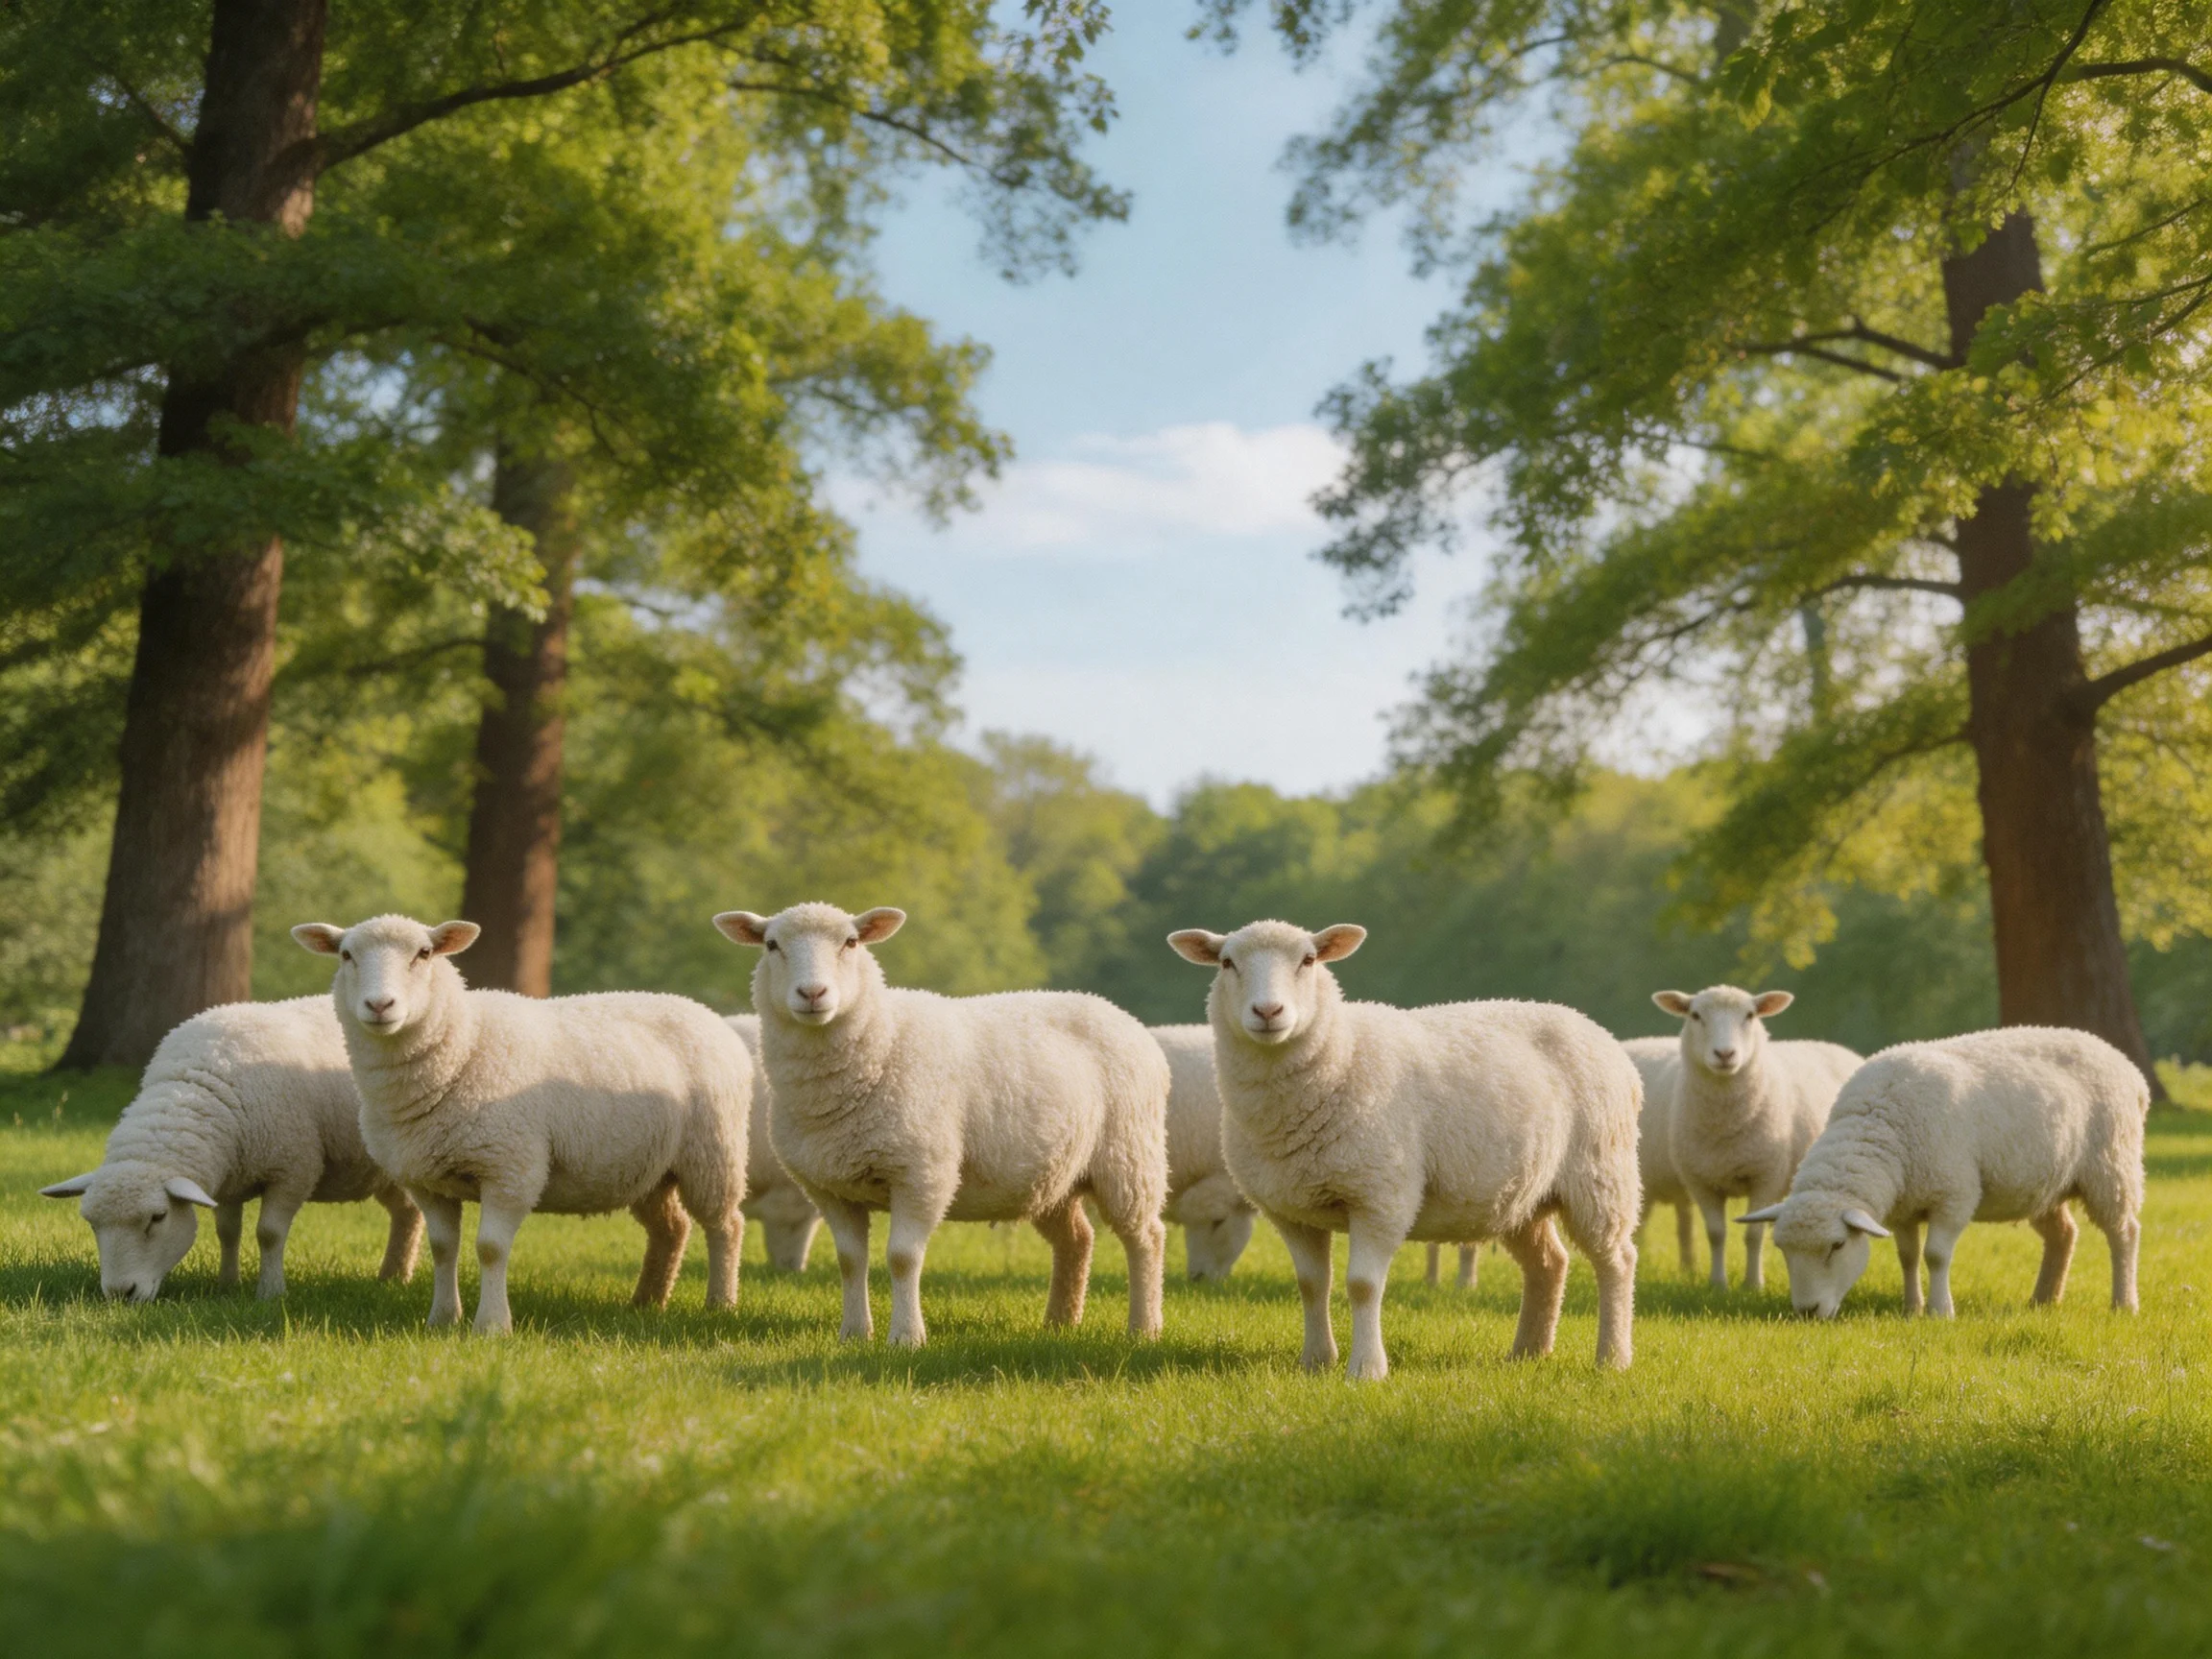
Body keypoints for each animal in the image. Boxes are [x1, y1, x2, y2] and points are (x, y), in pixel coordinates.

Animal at [40, 997, 421, 1302]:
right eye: (91, 1224)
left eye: (158, 1218)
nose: (120, 1294)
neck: (196, 1086)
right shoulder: (228, 1179)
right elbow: (227, 1233)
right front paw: (227, 1285)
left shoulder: (293, 1168)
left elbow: (269, 1234)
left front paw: (270, 1292)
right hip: (382, 1172)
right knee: (407, 1213)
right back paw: (393, 1276)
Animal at [292, 915, 749, 1334]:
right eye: (346, 955)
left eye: (423, 953)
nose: (379, 1005)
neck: (463, 1045)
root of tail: (699, 1008)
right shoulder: (427, 1180)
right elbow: (443, 1248)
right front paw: (441, 1319)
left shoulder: (510, 1168)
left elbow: (491, 1249)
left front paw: (492, 1326)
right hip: (646, 1168)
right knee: (672, 1228)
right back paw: (647, 1301)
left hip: (712, 1154)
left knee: (725, 1225)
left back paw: (720, 1303)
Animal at [1168, 919, 1642, 1375]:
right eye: (1227, 963)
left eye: (1308, 960)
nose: (1268, 1012)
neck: (1341, 1055)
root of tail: (1590, 1025)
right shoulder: (1291, 1209)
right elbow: (1311, 1285)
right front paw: (1316, 1361)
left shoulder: (1380, 1196)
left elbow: (1362, 1285)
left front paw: (1366, 1369)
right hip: (1520, 1194)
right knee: (1549, 1264)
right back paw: (1528, 1352)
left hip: (1600, 1174)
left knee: (1617, 1260)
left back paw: (1613, 1357)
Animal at [1652, 986, 1860, 1291]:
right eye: (1695, 1015)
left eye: (1750, 1015)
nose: (1725, 1053)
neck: (1725, 1128)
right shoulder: (1700, 1180)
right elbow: (1716, 1233)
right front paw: (1718, 1284)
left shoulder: (1766, 1176)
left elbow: (1754, 1234)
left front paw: (1753, 1284)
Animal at [1740, 1026, 2147, 1319]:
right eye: (1782, 1249)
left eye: (1837, 1246)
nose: (1807, 1312)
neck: (1882, 1124)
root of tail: (2127, 1066)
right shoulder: (1903, 1205)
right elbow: (1907, 1256)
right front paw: (1911, 1308)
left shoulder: (1953, 1195)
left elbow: (1935, 1255)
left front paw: (1940, 1311)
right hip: (2043, 1184)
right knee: (2063, 1235)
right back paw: (2043, 1301)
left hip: (2111, 1166)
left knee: (2124, 1233)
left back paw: (2124, 1304)